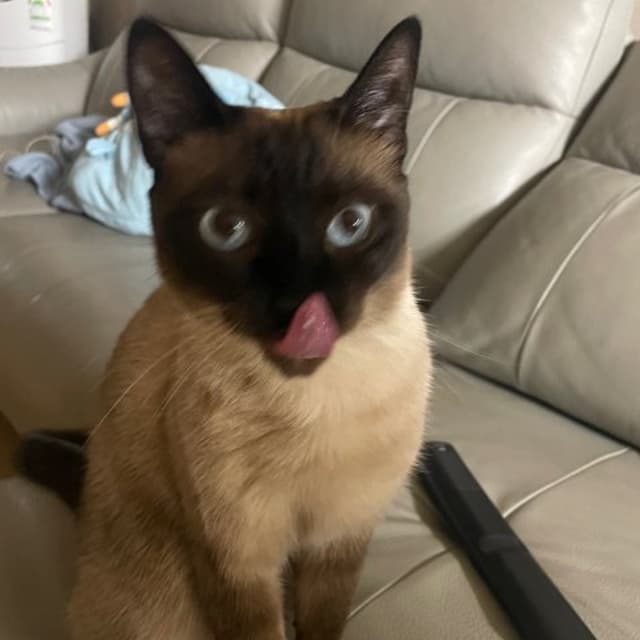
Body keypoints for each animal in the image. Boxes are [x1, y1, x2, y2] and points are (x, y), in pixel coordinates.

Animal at [35, 15, 431, 640]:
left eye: (351, 224)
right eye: (225, 228)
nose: (297, 308)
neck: (312, 410)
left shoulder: (338, 546)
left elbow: (323, 626)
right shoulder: (237, 566)